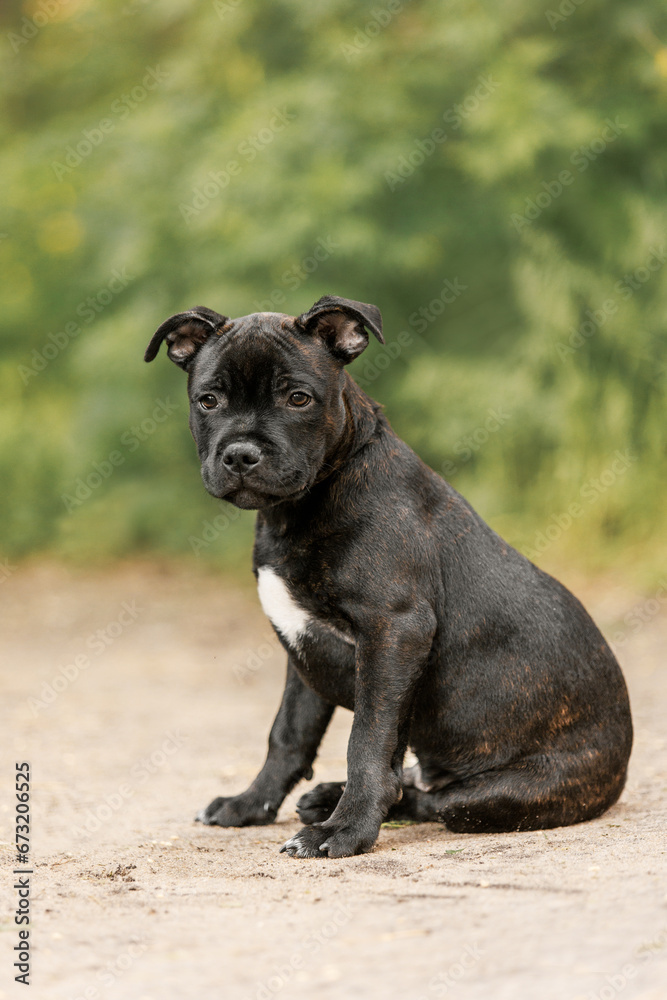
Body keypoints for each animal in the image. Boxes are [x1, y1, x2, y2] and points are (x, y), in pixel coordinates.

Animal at [144, 296, 636, 860]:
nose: (241, 454)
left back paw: (339, 808)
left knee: (438, 798)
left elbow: (368, 740)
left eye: (298, 398)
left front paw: (345, 830)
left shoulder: (393, 632)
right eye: (208, 401)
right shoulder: (302, 650)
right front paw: (250, 805)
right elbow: (288, 734)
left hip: (511, 792)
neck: (301, 506)